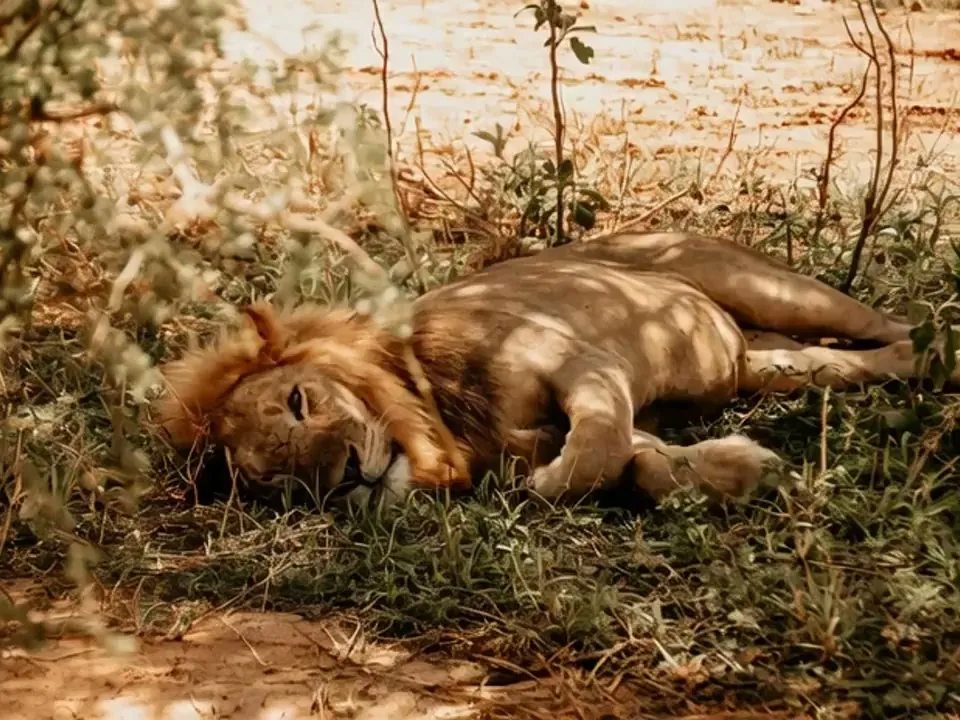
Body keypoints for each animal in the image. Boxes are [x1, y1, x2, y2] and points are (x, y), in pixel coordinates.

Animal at [154, 231, 954, 510]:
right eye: (274, 483)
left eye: (300, 400)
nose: (349, 475)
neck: (444, 428)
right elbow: (639, 462)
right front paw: (745, 470)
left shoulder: (582, 362)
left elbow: (593, 451)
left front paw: (542, 485)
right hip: (765, 361)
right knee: (824, 363)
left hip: (748, 281)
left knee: (896, 328)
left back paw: (938, 353)